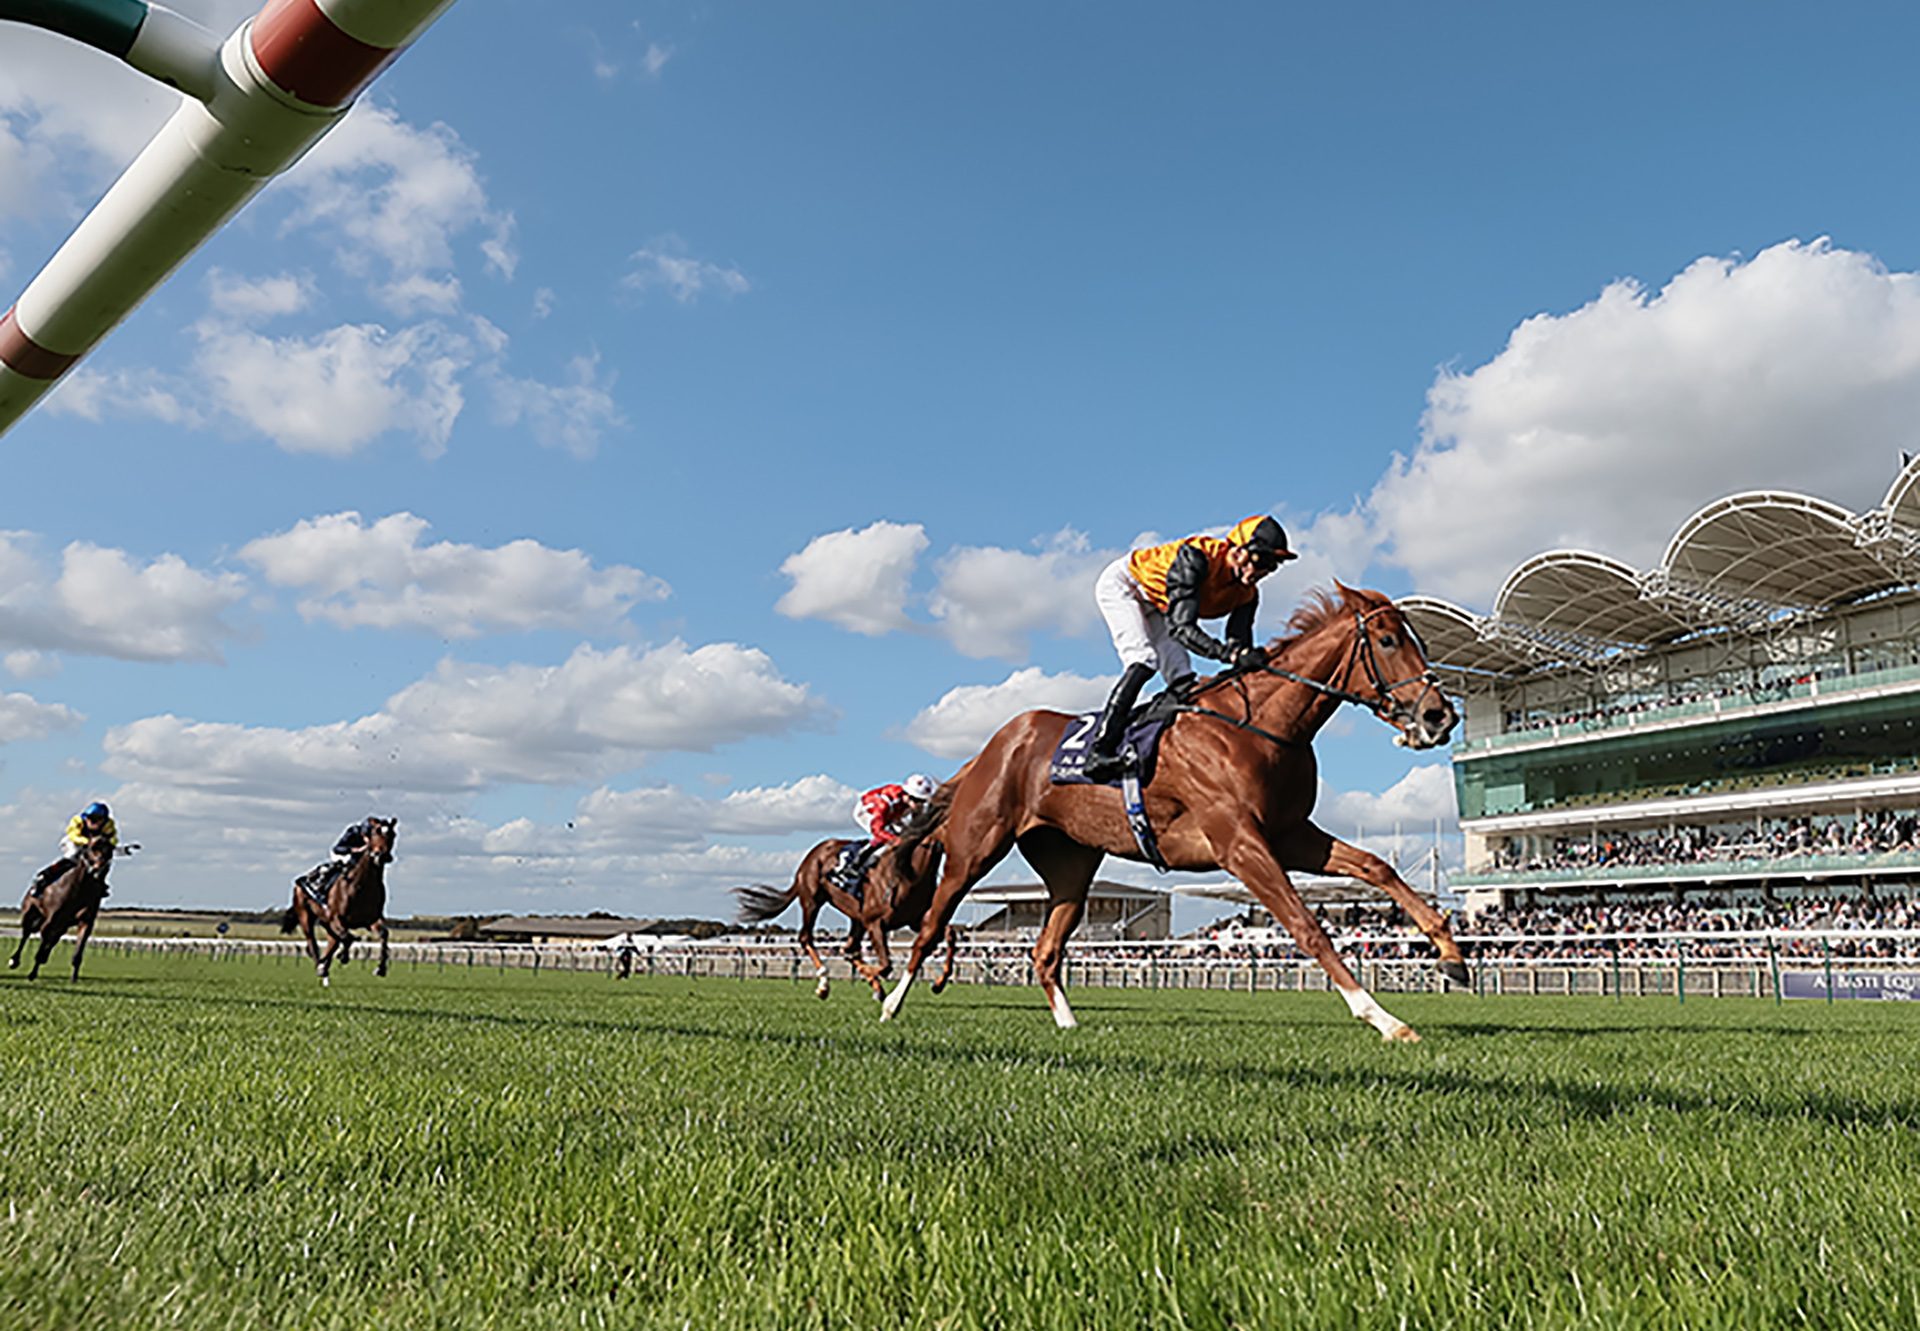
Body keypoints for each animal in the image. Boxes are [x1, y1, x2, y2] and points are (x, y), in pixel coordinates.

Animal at [8, 837, 116, 979]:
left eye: (110, 851)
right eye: (93, 848)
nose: (101, 869)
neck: (80, 888)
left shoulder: (85, 922)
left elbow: (77, 952)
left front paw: (74, 978)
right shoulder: (51, 922)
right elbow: (42, 945)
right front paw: (32, 973)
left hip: (62, 926)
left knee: (52, 939)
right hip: (30, 914)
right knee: (26, 933)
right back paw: (14, 960)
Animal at [280, 810, 395, 983]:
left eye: (393, 834)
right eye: (375, 832)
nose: (382, 856)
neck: (363, 884)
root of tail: (301, 880)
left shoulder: (370, 919)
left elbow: (382, 934)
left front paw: (380, 968)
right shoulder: (336, 918)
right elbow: (348, 938)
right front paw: (343, 956)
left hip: (326, 922)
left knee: (332, 941)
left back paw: (324, 966)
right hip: (305, 916)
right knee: (312, 943)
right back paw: (321, 966)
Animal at [729, 829, 956, 998]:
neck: (912, 872)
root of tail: (811, 856)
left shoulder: (916, 920)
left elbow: (949, 935)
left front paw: (939, 982)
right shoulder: (875, 922)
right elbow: (885, 965)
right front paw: (870, 974)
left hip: (856, 917)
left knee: (849, 948)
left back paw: (874, 987)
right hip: (812, 900)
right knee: (807, 938)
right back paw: (824, 984)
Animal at [879, 587, 1466, 1044]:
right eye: (1388, 641)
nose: (1441, 715)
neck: (1260, 727)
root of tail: (994, 746)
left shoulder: (1292, 834)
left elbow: (1375, 867)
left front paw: (1449, 952)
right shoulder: (1240, 843)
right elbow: (1307, 926)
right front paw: (1381, 1016)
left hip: (1071, 865)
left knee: (1045, 950)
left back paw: (1068, 1022)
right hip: (974, 849)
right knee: (931, 926)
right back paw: (890, 1002)